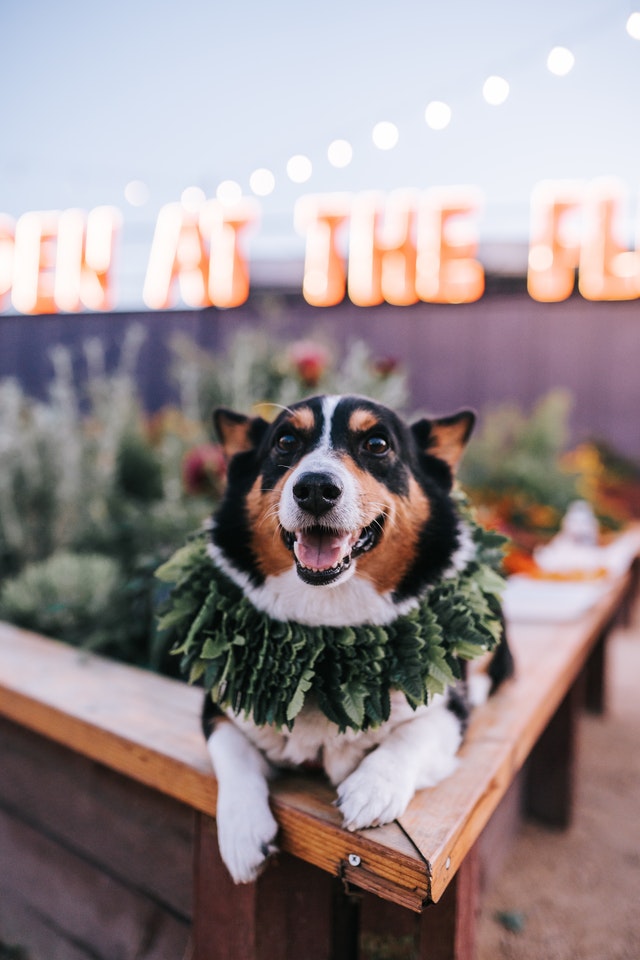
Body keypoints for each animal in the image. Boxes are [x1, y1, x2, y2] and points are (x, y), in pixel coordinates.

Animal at [188, 396, 512, 884]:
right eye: (286, 440)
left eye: (377, 444)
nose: (315, 488)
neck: (328, 624)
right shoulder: (221, 704)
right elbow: (231, 751)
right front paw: (243, 833)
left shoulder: (449, 710)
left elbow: (413, 735)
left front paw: (371, 788)